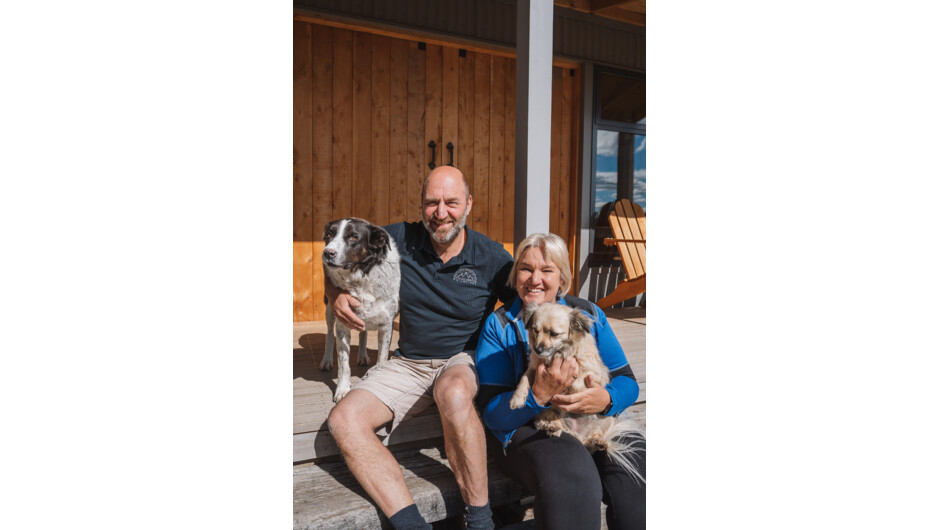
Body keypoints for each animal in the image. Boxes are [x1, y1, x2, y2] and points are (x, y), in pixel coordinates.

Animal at [320, 218, 401, 402]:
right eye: (329, 235)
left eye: (353, 237)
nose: (327, 253)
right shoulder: (342, 324)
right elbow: (343, 364)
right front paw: (342, 389)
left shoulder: (386, 326)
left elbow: (381, 359)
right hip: (329, 309)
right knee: (329, 334)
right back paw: (326, 360)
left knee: (363, 333)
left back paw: (363, 356)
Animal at [510, 302, 645, 481]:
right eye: (535, 330)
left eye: (554, 334)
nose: (537, 349)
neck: (558, 352)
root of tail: (578, 434)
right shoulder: (533, 369)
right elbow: (523, 380)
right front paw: (516, 399)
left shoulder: (587, 371)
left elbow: (577, 380)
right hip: (547, 414)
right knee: (556, 426)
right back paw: (553, 429)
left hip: (606, 419)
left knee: (594, 438)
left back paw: (599, 443)